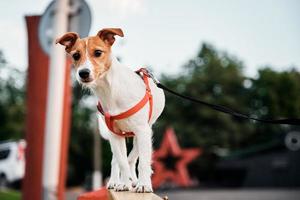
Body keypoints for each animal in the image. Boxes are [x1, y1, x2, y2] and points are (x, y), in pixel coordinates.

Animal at [55, 28, 165, 192]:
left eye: (98, 52)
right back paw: (116, 181)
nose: (83, 73)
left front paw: (144, 184)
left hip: (144, 132)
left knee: (134, 157)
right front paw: (124, 184)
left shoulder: (143, 131)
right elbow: (122, 162)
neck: (110, 90)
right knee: (118, 160)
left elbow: (142, 162)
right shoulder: (115, 134)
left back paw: (135, 180)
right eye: (76, 55)